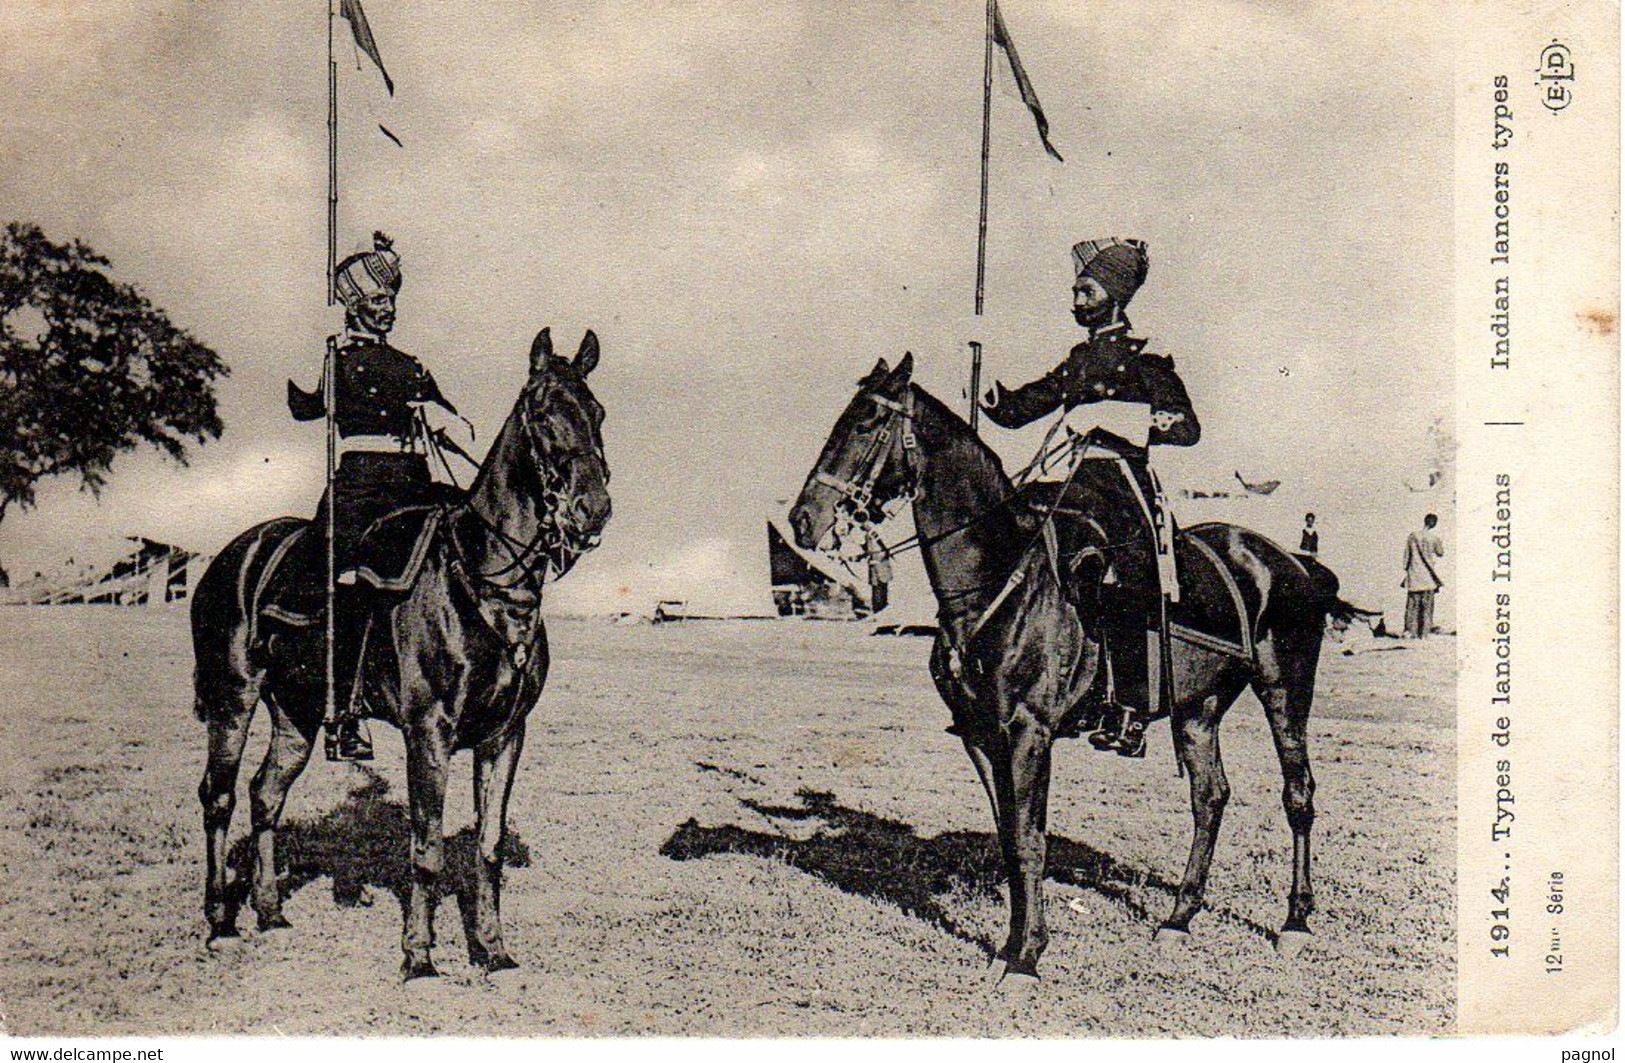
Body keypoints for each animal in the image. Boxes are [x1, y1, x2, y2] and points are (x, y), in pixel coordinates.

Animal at [191, 326, 611, 981]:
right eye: (542, 412)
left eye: (597, 413)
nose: (592, 510)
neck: (482, 579)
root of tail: (230, 556)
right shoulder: (428, 730)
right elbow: (428, 845)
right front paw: (419, 956)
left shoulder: (504, 735)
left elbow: (487, 844)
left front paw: (493, 950)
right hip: (232, 695)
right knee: (220, 794)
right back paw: (220, 924)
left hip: (297, 713)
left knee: (265, 794)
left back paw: (270, 912)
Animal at [786, 357, 1358, 981]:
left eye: (866, 423)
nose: (802, 520)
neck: (996, 578)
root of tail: (1291, 562)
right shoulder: (981, 735)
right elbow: (1013, 838)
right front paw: (1013, 945)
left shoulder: (1029, 732)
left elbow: (1031, 839)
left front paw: (1026, 958)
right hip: (1198, 708)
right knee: (1210, 797)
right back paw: (1179, 918)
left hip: (1284, 689)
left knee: (1298, 793)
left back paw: (1295, 922)